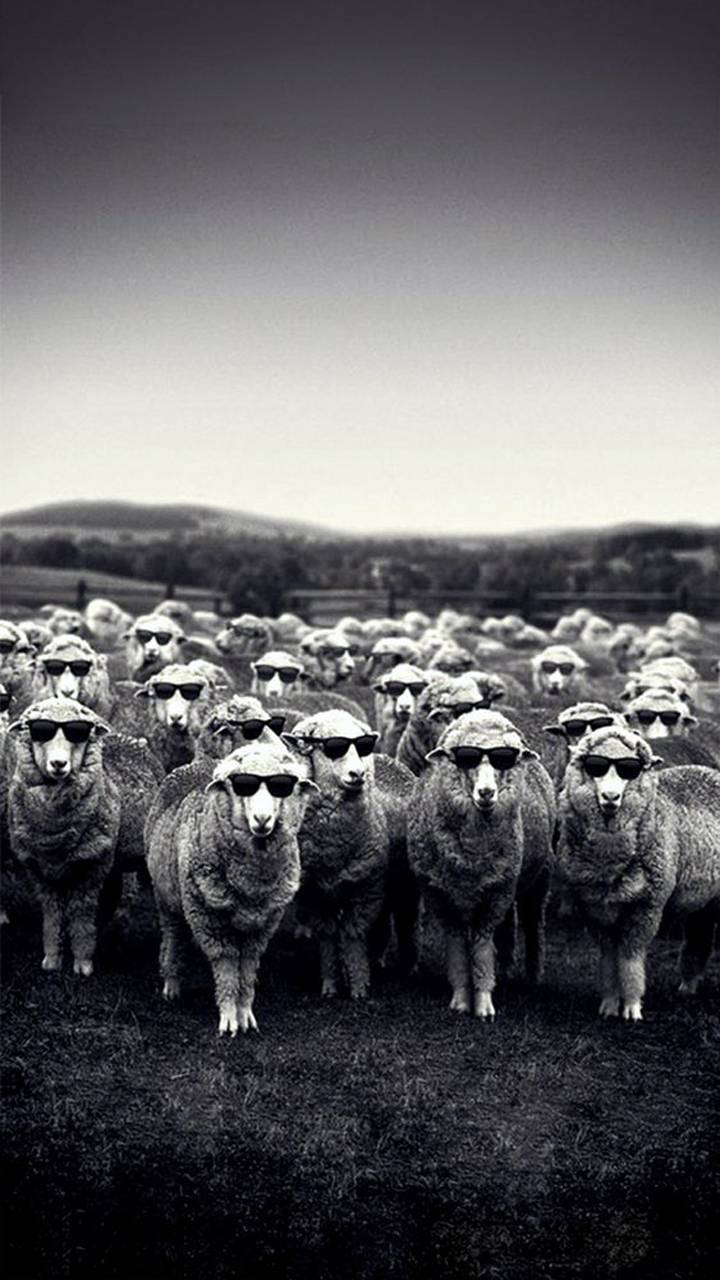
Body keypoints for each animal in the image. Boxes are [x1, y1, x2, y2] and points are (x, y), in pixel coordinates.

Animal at [7, 698, 163, 974]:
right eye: (39, 732)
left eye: (78, 733)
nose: (59, 764)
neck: (54, 829)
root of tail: (132, 738)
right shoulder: (39, 870)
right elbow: (53, 914)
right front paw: (52, 959)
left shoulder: (91, 867)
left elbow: (81, 914)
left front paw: (82, 963)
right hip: (111, 858)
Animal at [146, 740, 316, 1034]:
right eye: (241, 785)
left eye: (283, 786)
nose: (262, 819)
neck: (251, 883)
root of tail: (201, 763)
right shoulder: (210, 920)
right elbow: (225, 966)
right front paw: (228, 1017)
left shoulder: (262, 924)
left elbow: (246, 968)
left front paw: (245, 1013)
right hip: (166, 898)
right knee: (173, 938)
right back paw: (172, 984)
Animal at [282, 710, 389, 1000]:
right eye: (332, 748)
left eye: (362, 746)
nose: (358, 773)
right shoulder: (314, 895)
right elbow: (328, 937)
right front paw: (330, 986)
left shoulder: (365, 890)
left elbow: (353, 938)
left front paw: (359, 987)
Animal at [408, 710, 555, 1018]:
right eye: (465, 758)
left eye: (504, 759)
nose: (486, 792)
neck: (473, 855)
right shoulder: (442, 896)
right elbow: (457, 949)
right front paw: (461, 998)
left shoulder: (493, 898)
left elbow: (482, 948)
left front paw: (484, 1001)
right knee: (509, 924)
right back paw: (507, 968)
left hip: (538, 878)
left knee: (533, 923)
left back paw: (533, 975)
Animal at [554, 725, 720, 1018]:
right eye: (594, 766)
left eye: (630, 769)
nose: (610, 797)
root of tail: (712, 771)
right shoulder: (595, 908)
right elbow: (609, 957)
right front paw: (609, 1004)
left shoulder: (647, 906)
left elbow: (631, 958)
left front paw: (631, 1006)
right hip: (705, 900)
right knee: (700, 935)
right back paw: (687, 986)